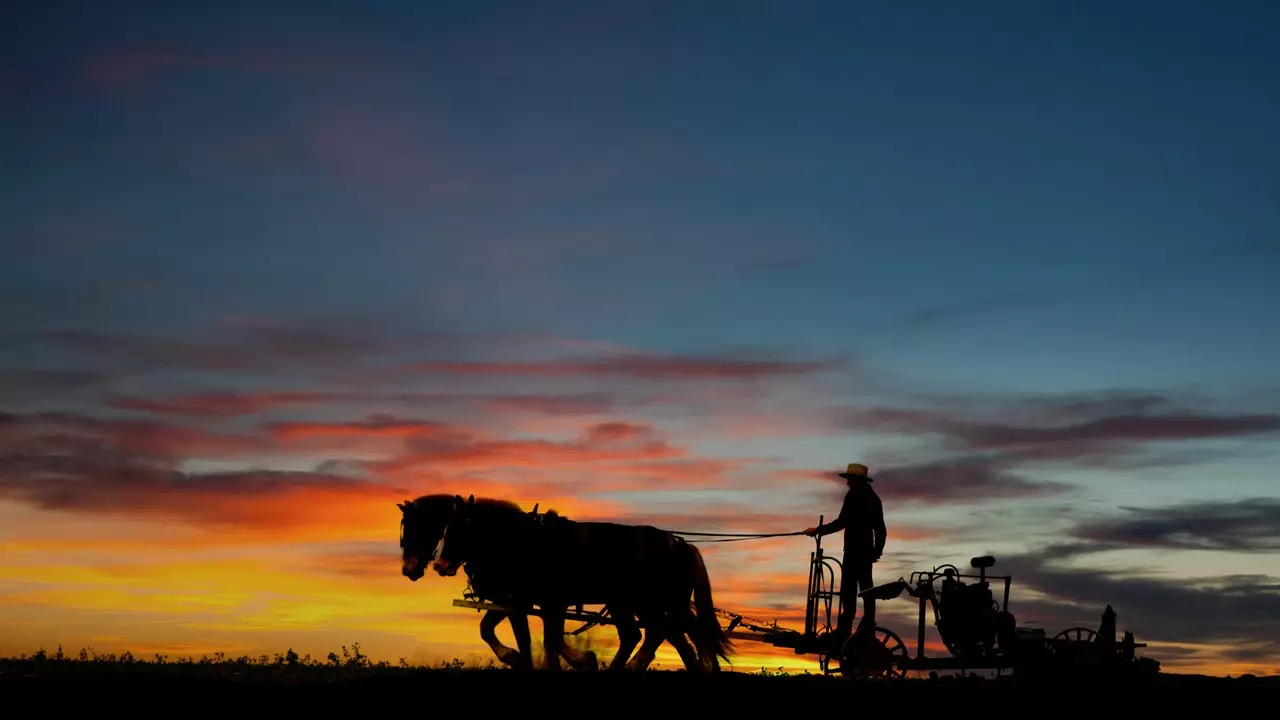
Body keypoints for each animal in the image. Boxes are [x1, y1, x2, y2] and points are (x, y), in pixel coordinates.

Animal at [432, 491, 732, 666]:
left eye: (460, 527)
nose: (439, 565)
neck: (523, 541)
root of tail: (681, 544)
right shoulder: (522, 602)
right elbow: (498, 631)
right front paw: (516, 657)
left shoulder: (544, 602)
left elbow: (546, 640)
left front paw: (580, 659)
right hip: (640, 605)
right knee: (666, 637)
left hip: (648, 604)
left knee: (664, 636)